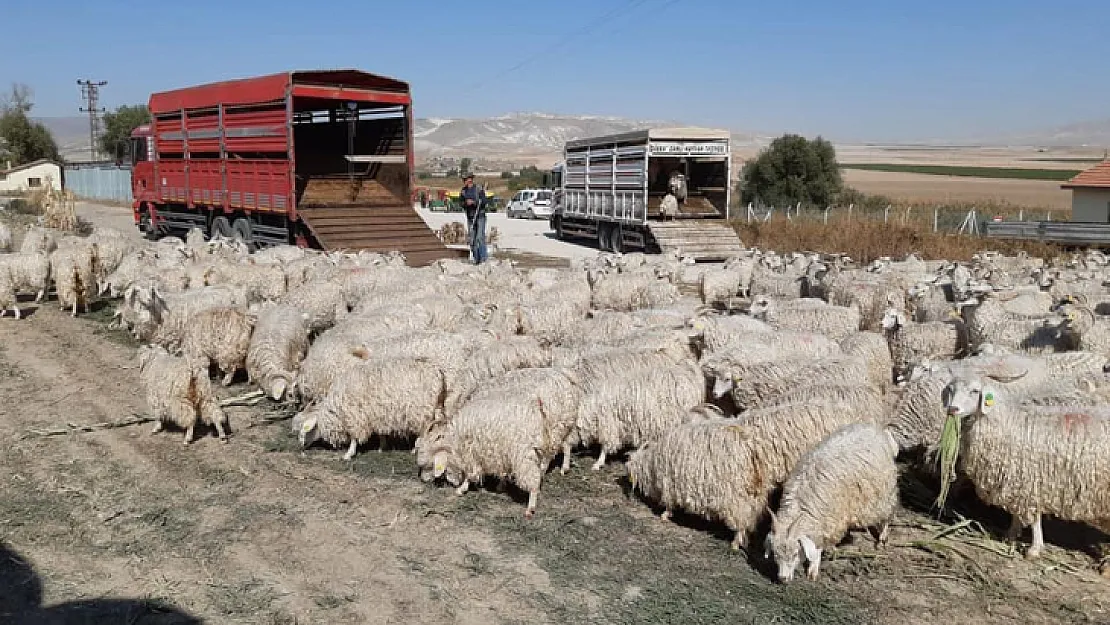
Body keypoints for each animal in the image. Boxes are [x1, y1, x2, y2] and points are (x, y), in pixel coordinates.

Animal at [299, 357, 450, 459]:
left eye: (306, 430)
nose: (300, 446)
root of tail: (438, 372)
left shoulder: (355, 416)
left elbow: (354, 437)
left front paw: (348, 454)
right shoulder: (376, 414)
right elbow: (380, 433)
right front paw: (382, 447)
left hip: (421, 410)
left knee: (424, 430)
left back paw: (416, 449)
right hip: (434, 406)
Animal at [415, 366, 581, 519]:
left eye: (426, 463)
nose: (423, 480)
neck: (455, 435)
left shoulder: (474, 451)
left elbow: (472, 472)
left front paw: (462, 489)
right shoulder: (497, 449)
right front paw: (501, 484)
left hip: (525, 452)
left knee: (533, 477)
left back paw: (531, 507)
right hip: (561, 427)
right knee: (564, 447)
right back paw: (561, 469)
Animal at [763, 424, 901, 586]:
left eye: (796, 553)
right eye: (775, 554)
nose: (782, 579)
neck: (800, 503)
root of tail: (880, 432)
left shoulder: (828, 523)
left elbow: (818, 547)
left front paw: (813, 569)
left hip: (881, 492)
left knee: (886, 514)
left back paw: (882, 537)